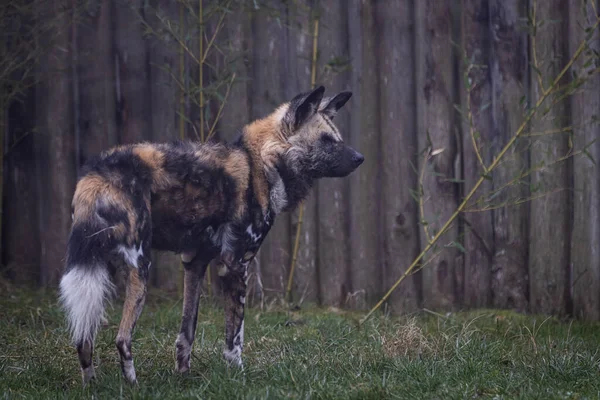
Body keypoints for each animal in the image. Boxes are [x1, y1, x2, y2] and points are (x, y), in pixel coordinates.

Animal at [59, 86, 360, 382]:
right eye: (325, 140)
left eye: (338, 138)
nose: (360, 158)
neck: (262, 164)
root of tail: (96, 173)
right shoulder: (235, 265)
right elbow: (235, 337)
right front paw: (237, 376)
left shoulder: (195, 262)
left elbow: (186, 332)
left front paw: (183, 376)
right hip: (140, 267)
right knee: (122, 339)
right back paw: (133, 387)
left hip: (97, 271)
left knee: (83, 339)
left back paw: (93, 386)